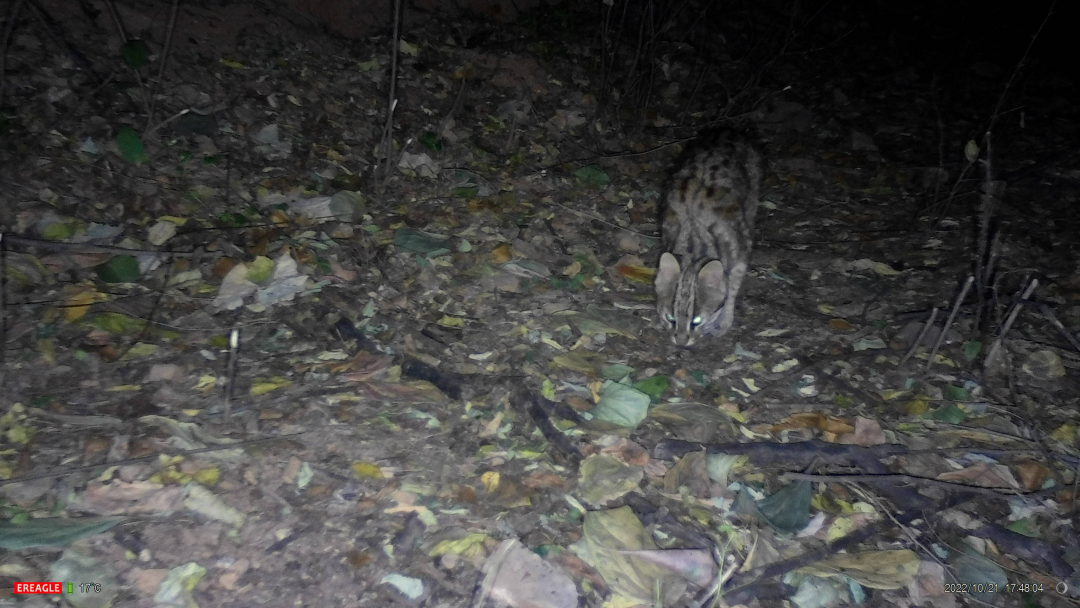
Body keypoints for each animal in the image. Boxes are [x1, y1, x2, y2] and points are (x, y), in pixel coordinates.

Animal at [654, 130, 762, 347]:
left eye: (697, 320)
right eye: (671, 318)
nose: (681, 342)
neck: (692, 246)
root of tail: (726, 132)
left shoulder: (741, 250)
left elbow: (731, 289)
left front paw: (724, 320)